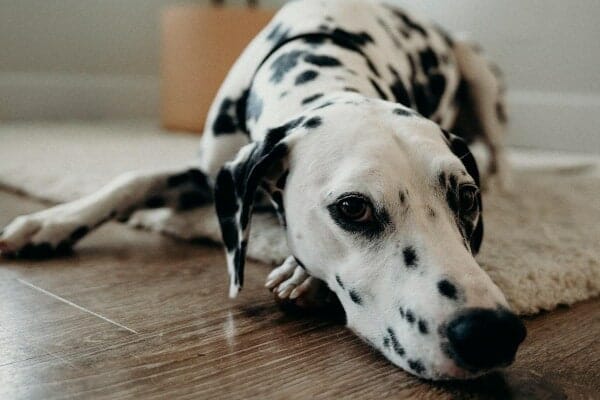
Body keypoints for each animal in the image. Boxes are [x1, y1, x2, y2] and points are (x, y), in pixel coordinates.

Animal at [1, 0, 524, 382]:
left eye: (466, 198)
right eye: (353, 208)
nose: (491, 331)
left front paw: (301, 274)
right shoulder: (213, 173)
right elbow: (129, 181)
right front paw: (47, 223)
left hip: (477, 69)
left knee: (501, 151)